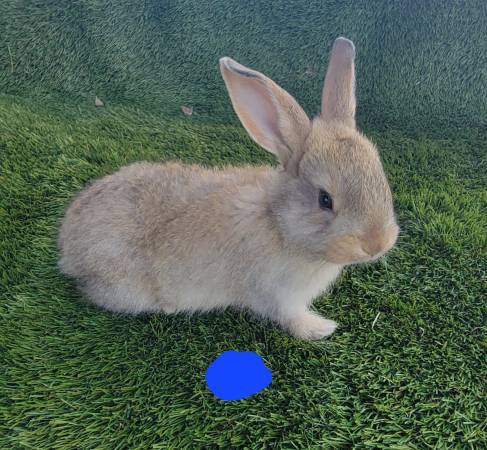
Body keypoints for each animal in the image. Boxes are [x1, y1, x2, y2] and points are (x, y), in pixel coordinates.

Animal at [58, 37, 399, 340]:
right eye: (325, 200)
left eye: (380, 178)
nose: (376, 244)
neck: (279, 224)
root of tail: (68, 247)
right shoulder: (277, 295)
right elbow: (290, 318)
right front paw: (321, 329)